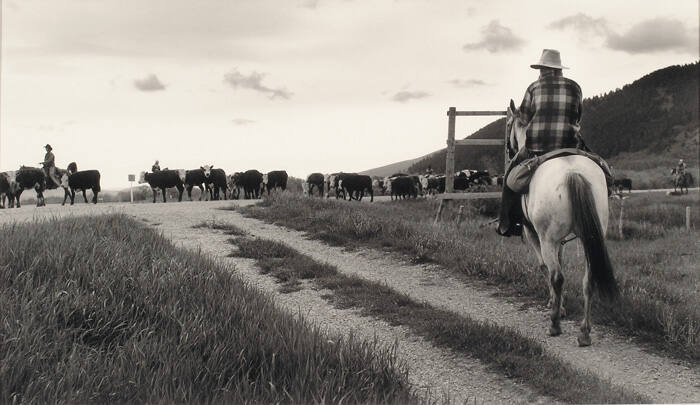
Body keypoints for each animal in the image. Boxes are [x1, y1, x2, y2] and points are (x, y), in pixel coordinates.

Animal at [508, 98, 616, 344]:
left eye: (507, 124)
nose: (510, 151)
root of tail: (572, 172)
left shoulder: (534, 233)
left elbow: (545, 266)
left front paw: (556, 307)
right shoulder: (561, 240)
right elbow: (559, 261)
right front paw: (560, 305)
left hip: (547, 237)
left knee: (557, 276)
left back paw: (554, 325)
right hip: (591, 236)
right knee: (589, 278)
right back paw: (584, 331)